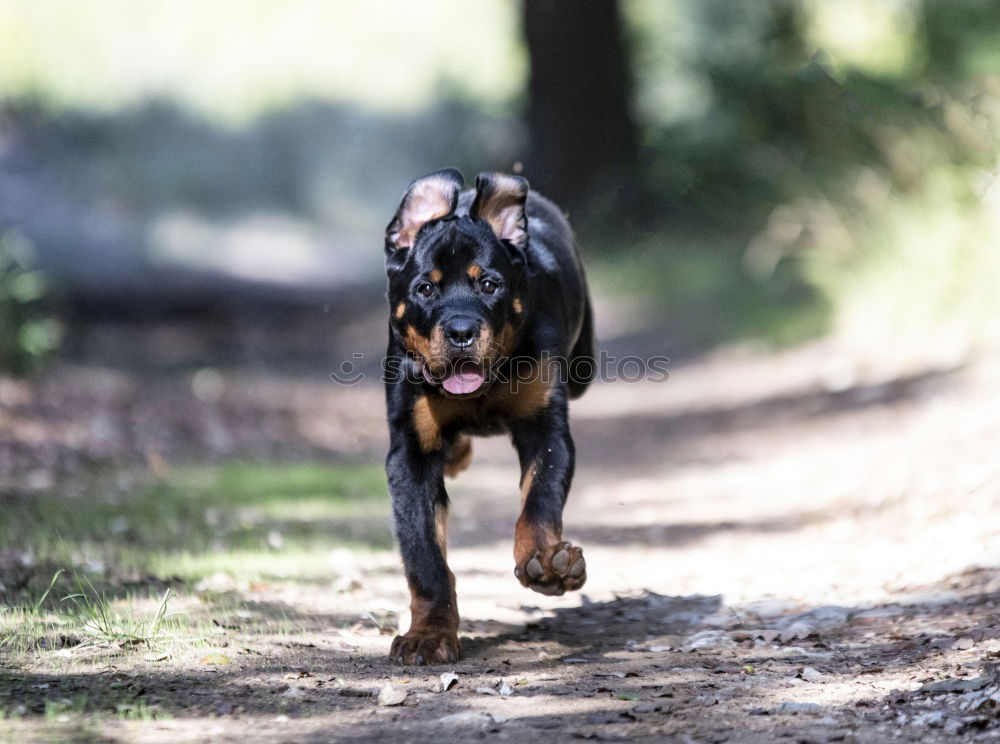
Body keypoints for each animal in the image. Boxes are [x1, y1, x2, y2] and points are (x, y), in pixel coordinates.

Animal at [382, 167, 592, 664]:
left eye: (489, 285)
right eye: (425, 288)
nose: (461, 331)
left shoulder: (545, 430)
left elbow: (539, 501)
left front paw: (546, 563)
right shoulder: (410, 454)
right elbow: (425, 557)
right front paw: (428, 635)